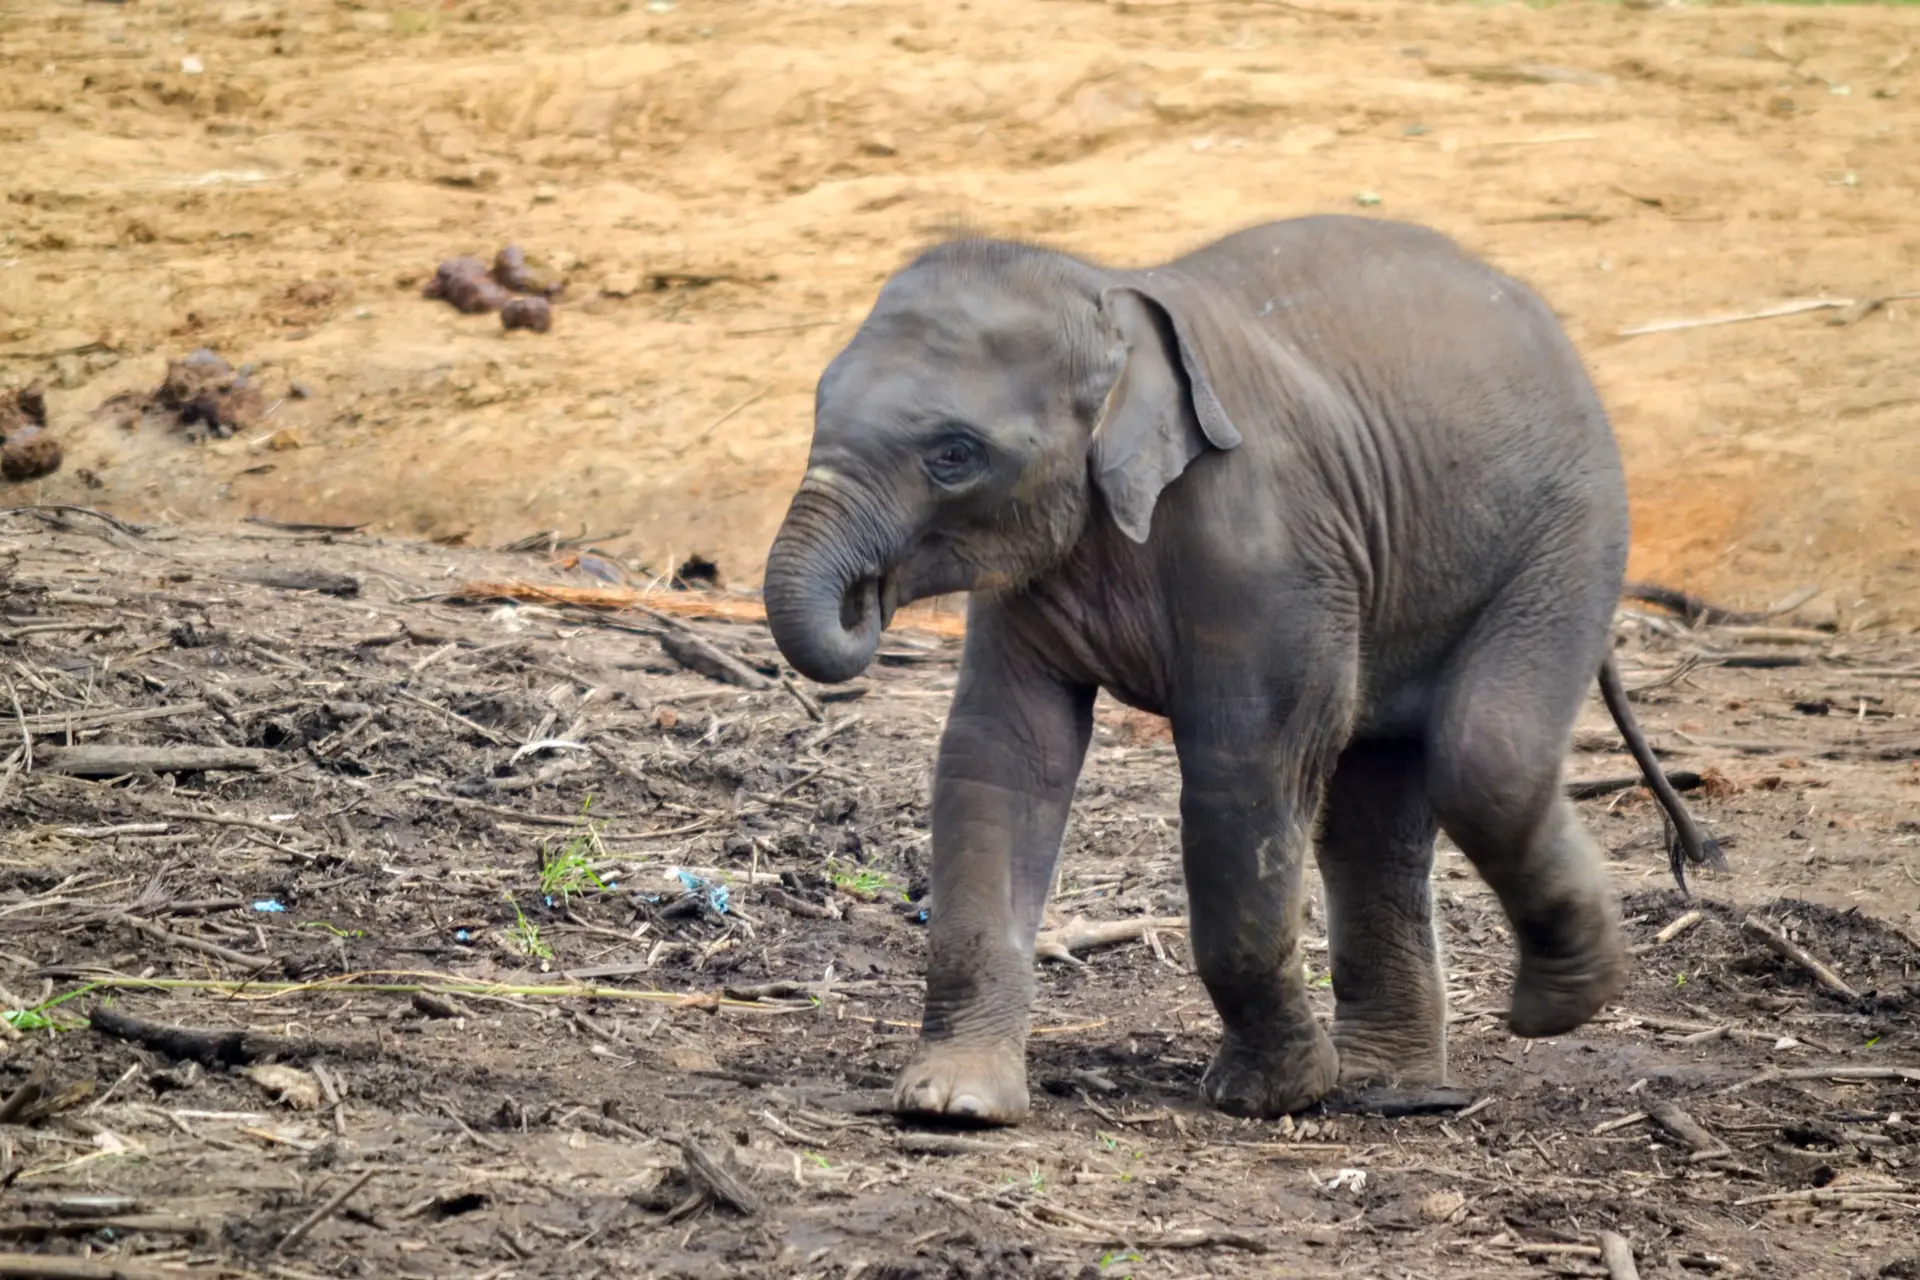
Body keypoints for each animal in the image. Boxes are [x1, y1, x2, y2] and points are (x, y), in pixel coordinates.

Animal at [760, 214, 1724, 1126]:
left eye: (953, 455)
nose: (868, 597)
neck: (1115, 299)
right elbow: (1000, 759)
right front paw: (953, 1104)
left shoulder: (1268, 549)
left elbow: (1245, 777)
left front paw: (1270, 1096)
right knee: (1376, 808)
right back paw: (1390, 1084)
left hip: (1570, 531)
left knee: (1485, 755)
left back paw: (1553, 1007)